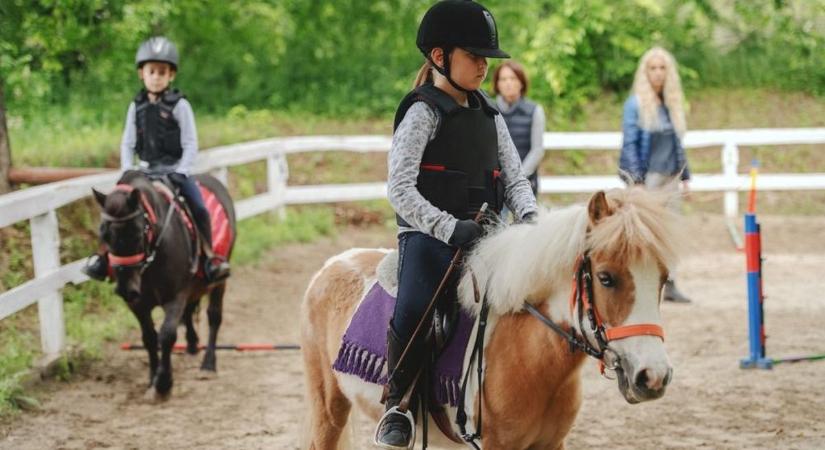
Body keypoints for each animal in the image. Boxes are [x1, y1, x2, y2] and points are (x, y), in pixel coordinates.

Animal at [92, 171, 237, 398]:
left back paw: (208, 365)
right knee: (189, 312)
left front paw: (164, 383)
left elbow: (167, 335)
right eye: (103, 234)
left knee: (214, 316)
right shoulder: (137, 304)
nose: (125, 288)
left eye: (136, 233)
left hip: (218, 281)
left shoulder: (175, 296)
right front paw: (153, 378)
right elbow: (149, 338)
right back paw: (192, 344)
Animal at [300, 188, 680, 448]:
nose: (653, 377)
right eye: (605, 278)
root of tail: (331, 265)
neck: (528, 354)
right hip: (329, 409)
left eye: (663, 278)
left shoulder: (551, 444)